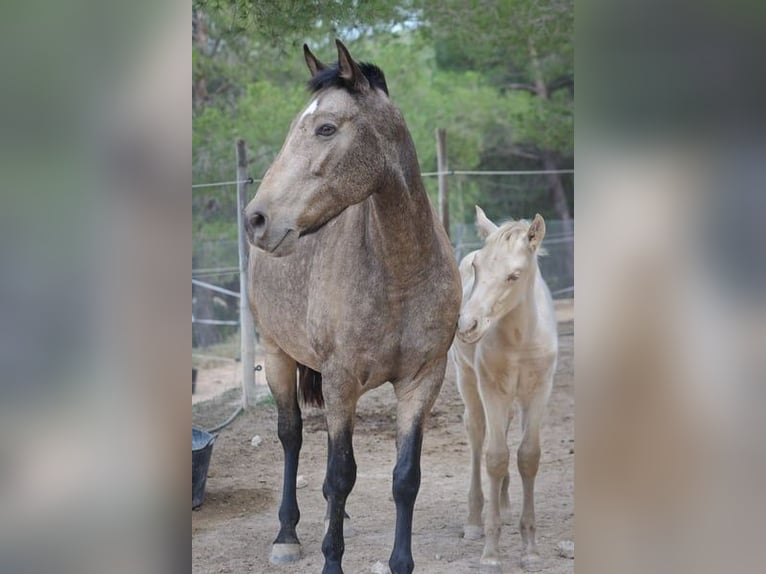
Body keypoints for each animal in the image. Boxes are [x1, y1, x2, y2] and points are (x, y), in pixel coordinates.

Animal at [244, 41, 462, 574]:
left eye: (326, 128)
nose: (256, 219)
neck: (400, 273)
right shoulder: (342, 381)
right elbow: (340, 474)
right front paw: (330, 560)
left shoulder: (423, 382)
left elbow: (405, 478)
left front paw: (400, 563)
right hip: (278, 355)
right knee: (292, 436)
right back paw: (287, 536)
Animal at [450, 206, 560, 572]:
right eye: (477, 267)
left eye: (514, 276)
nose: (466, 325)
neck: (519, 339)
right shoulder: (491, 388)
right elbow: (495, 457)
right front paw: (491, 552)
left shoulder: (538, 391)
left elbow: (527, 456)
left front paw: (530, 549)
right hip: (467, 380)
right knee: (476, 433)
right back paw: (473, 521)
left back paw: (506, 505)